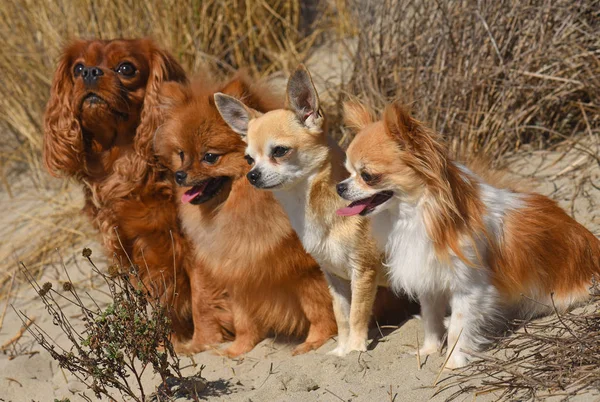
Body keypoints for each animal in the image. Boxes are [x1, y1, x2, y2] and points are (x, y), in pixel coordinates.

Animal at [42, 38, 233, 352]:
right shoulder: (131, 250)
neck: (122, 164)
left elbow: (203, 296)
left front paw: (204, 342)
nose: (90, 73)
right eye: (78, 68)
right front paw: (167, 345)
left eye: (126, 68)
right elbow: (158, 302)